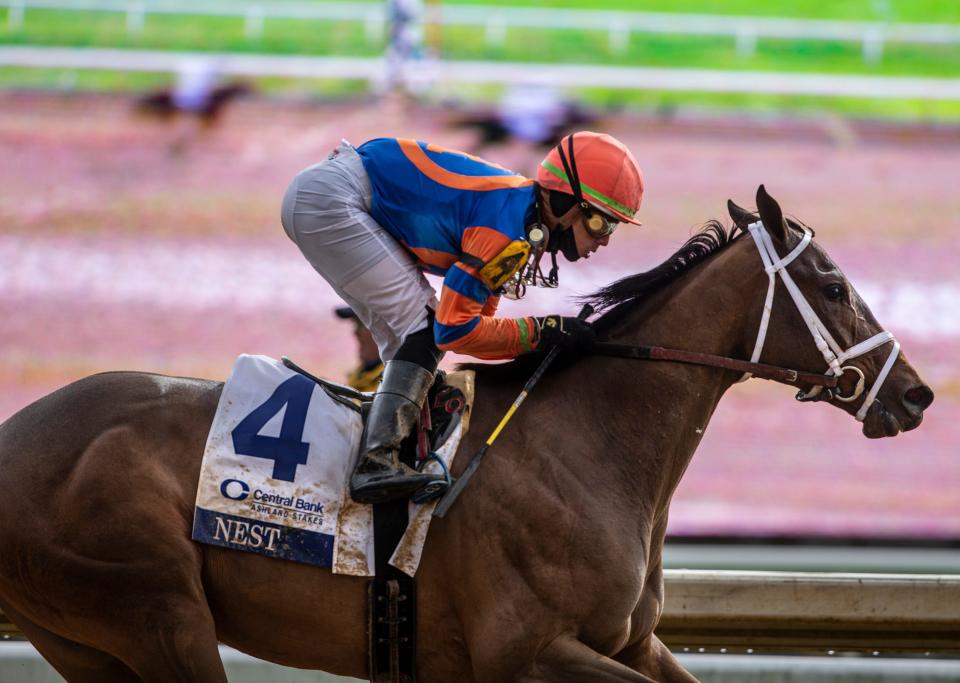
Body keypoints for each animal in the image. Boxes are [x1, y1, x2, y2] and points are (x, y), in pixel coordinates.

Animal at [0, 187, 928, 683]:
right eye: (834, 285)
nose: (914, 394)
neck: (587, 447)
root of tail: (15, 435)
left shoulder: (633, 641)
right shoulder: (528, 651)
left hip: (89, 641)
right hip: (156, 611)